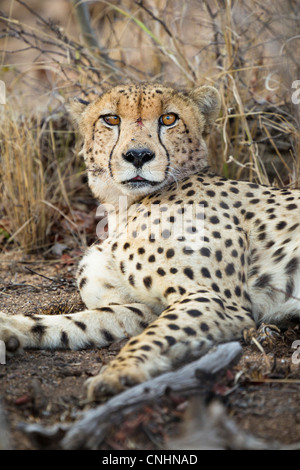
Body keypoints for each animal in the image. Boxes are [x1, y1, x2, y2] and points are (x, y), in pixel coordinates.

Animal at [0, 81, 300, 400]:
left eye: (169, 119)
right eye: (111, 119)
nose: (138, 155)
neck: (122, 207)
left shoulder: (215, 299)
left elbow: (153, 336)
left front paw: (119, 374)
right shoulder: (142, 308)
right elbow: (75, 322)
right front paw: (10, 328)